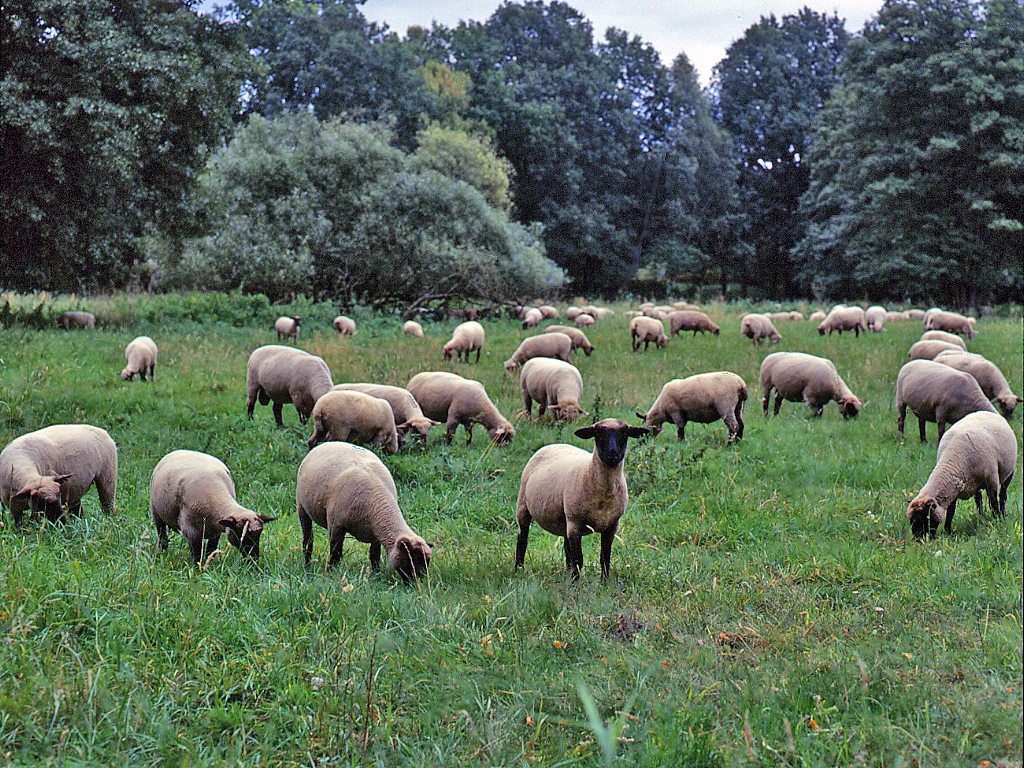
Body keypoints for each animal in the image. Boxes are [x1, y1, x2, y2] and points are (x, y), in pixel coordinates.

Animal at [296, 442, 431, 581]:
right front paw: (331, 572)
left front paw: (376, 574)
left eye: (427, 562)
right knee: (308, 539)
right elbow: (335, 553)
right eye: (411, 560)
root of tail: (328, 443)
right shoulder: (335, 526)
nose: (418, 583)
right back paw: (307, 564)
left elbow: (374, 556)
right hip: (301, 506)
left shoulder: (376, 534)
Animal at [514, 418, 648, 579]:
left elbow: (604, 558)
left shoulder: (612, 526)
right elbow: (579, 560)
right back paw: (518, 570)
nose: (612, 453)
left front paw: (604, 582)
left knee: (566, 548)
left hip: (565, 519)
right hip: (523, 505)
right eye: (598, 433)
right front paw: (575, 582)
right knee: (522, 539)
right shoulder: (575, 523)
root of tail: (553, 445)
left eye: (625, 432)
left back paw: (566, 573)